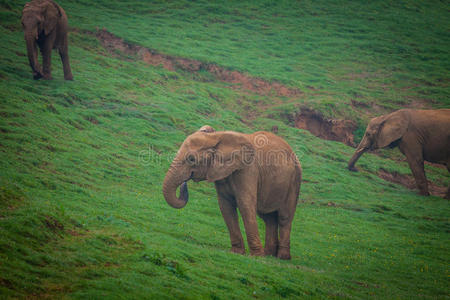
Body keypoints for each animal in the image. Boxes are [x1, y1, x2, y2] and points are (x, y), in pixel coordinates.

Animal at [162, 125, 302, 258]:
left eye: (191, 159)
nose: (184, 183)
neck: (217, 137)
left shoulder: (247, 169)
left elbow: (245, 205)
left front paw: (256, 256)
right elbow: (226, 207)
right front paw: (237, 252)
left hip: (294, 180)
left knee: (284, 217)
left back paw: (282, 257)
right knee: (268, 218)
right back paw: (269, 255)